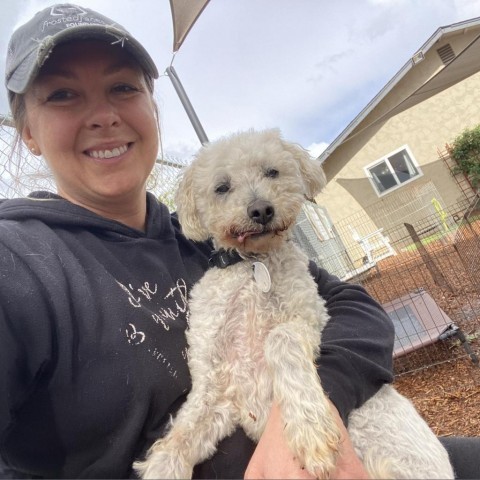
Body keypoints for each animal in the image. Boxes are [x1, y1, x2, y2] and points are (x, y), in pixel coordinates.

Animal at [134, 129, 454, 478]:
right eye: (222, 187)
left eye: (272, 171)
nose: (261, 210)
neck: (253, 265)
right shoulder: (214, 386)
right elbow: (178, 439)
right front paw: (162, 465)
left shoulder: (310, 318)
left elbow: (281, 338)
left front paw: (309, 429)